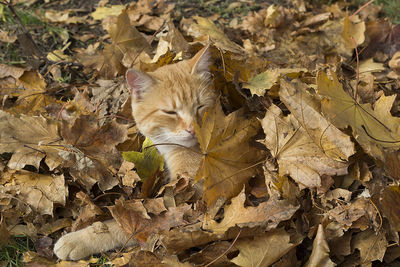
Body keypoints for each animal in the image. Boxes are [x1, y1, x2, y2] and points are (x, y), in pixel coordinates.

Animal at [54, 46, 216, 262]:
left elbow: (119, 227)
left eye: (200, 106)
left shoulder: (184, 204)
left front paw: (78, 240)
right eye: (170, 112)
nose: (192, 129)